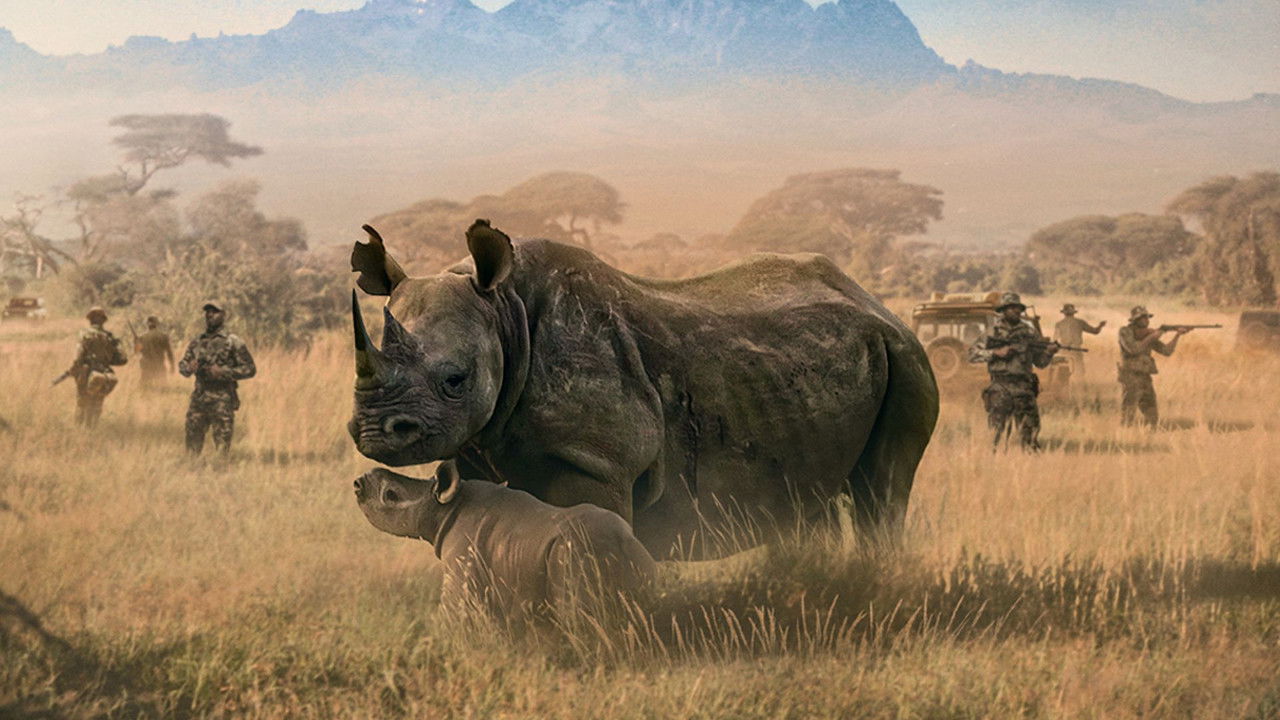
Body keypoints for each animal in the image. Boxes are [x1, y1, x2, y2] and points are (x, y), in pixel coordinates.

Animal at [349, 219, 938, 560]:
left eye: (456, 381)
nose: (376, 431)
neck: (503, 312)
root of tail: (875, 302)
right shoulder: (480, 448)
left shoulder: (593, 460)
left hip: (906, 358)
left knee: (883, 488)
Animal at [354, 464, 657, 618]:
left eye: (390, 495)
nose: (358, 483)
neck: (444, 508)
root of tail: (624, 542)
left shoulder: (462, 560)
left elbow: (453, 614)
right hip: (636, 559)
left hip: (575, 554)